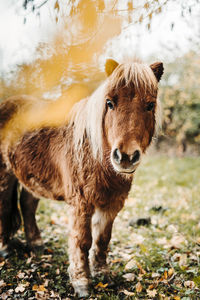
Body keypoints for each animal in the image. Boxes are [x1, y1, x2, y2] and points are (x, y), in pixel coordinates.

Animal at [0, 58, 163, 296]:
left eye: (150, 105)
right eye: (109, 103)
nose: (125, 157)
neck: (97, 156)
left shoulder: (111, 204)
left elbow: (103, 239)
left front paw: (102, 274)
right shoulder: (81, 203)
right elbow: (82, 241)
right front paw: (82, 281)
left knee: (27, 205)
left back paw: (37, 244)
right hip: (4, 174)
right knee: (4, 208)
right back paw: (5, 248)